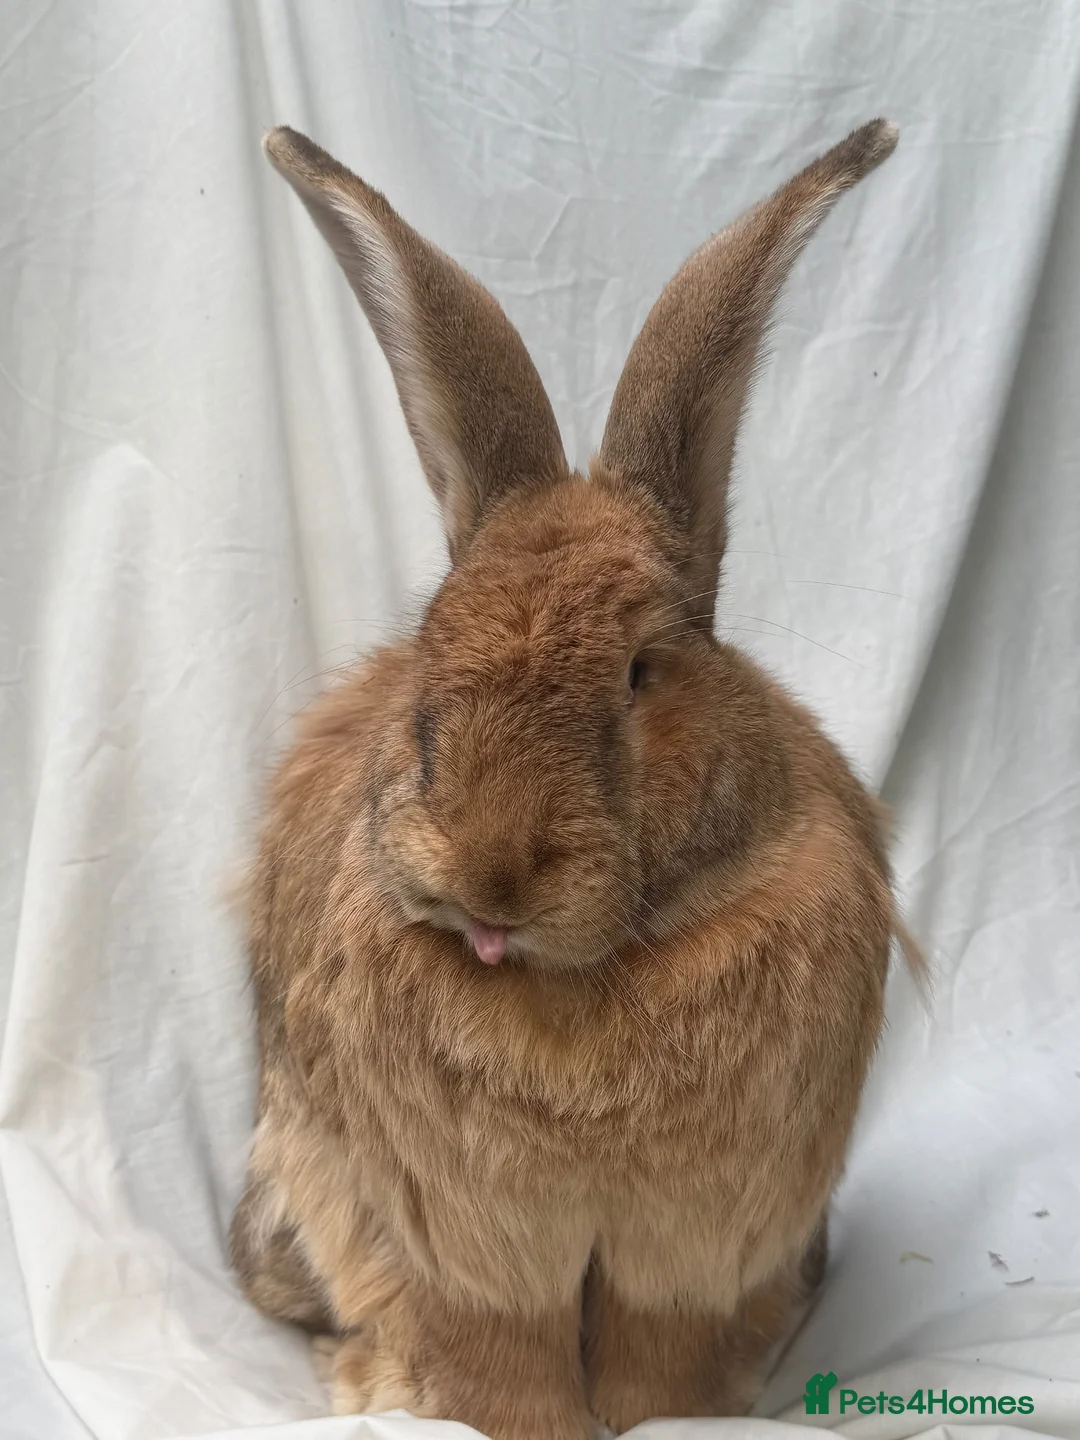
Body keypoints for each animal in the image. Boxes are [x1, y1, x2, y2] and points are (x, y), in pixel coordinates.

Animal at [230, 119, 905, 1439]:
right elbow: (497, 1358)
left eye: (643, 669)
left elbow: (658, 1354)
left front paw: (667, 1416)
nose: (491, 870)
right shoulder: (461, 1244)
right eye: (432, 644)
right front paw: (503, 1419)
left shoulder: (695, 1245)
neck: (581, 978)